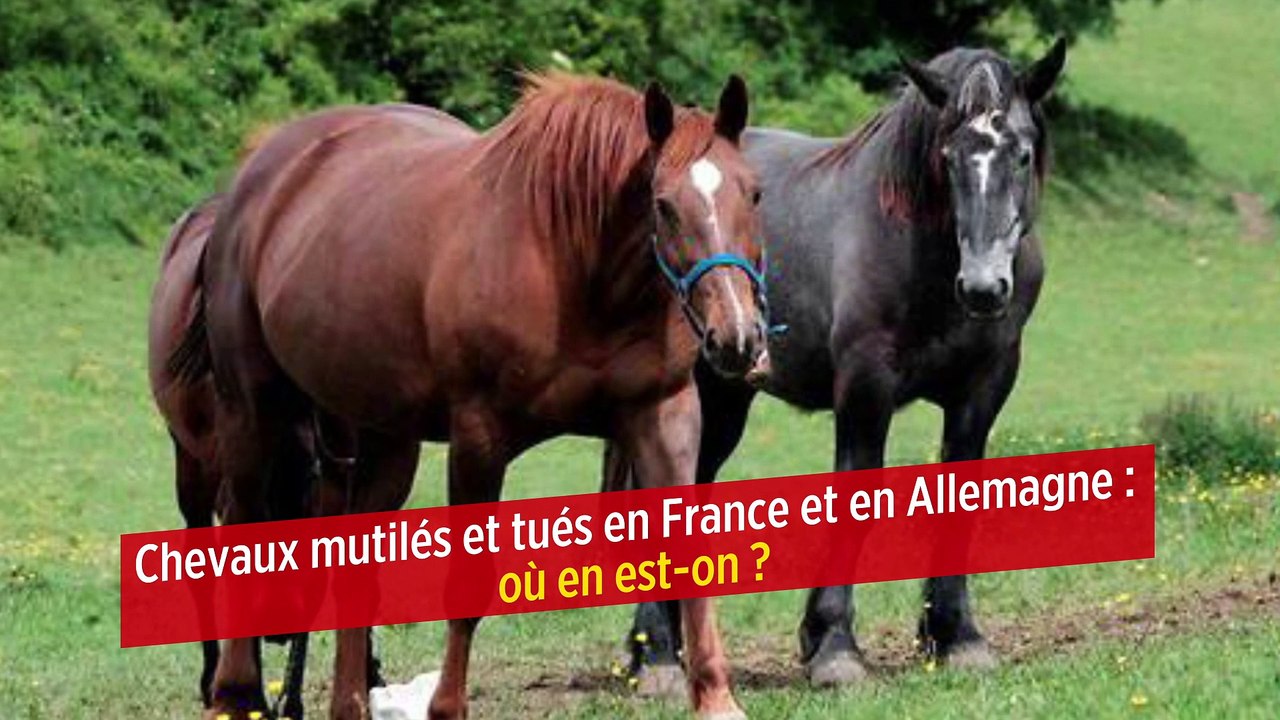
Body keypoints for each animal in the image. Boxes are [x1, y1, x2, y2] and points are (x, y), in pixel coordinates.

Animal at [169, 72, 769, 719]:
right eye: (663, 204)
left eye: (755, 194)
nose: (739, 337)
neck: (569, 260)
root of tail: (257, 174)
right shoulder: (480, 435)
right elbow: (468, 584)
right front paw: (446, 706)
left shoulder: (664, 414)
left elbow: (691, 557)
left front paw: (717, 698)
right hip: (251, 409)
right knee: (241, 521)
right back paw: (234, 694)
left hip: (381, 436)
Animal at [614, 41, 1068, 691]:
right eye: (948, 155)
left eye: (1023, 153)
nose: (983, 288)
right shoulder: (865, 386)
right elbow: (856, 496)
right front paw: (833, 646)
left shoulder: (983, 388)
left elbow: (961, 495)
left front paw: (956, 635)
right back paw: (655, 657)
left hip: (728, 396)